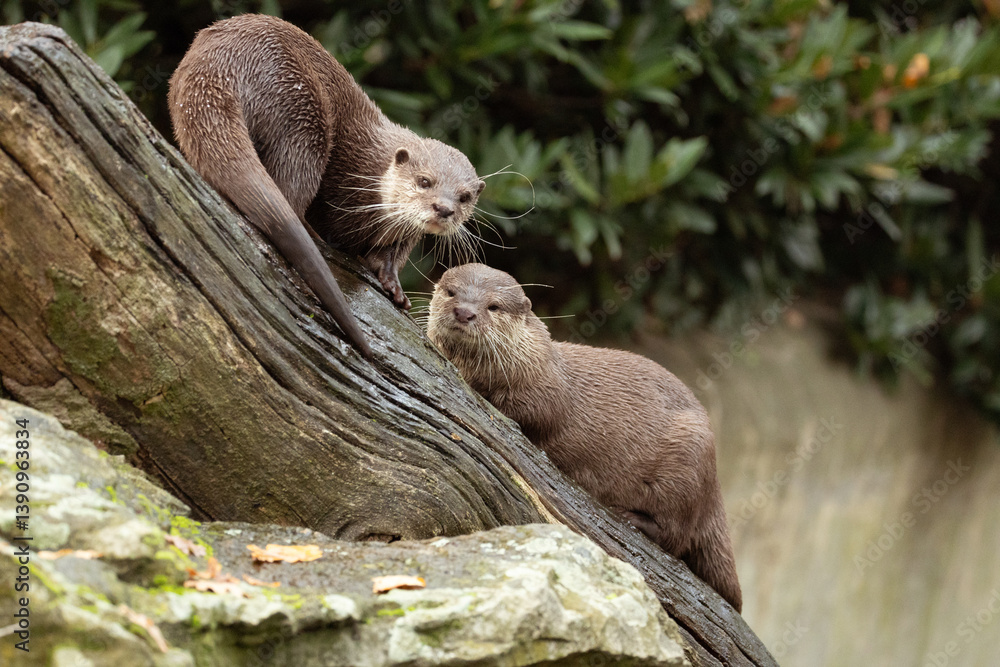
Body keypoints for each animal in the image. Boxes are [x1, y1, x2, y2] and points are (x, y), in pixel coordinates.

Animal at [169, 14, 484, 358]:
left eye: (465, 197)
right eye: (424, 181)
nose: (443, 208)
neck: (368, 175)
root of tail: (218, 59)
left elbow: (387, 257)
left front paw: (393, 285)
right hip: (302, 109)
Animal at [427, 264, 742, 611]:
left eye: (493, 306)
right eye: (451, 292)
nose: (464, 312)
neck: (528, 363)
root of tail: (714, 485)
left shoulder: (546, 394)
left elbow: (534, 414)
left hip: (688, 458)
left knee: (677, 534)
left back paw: (630, 517)